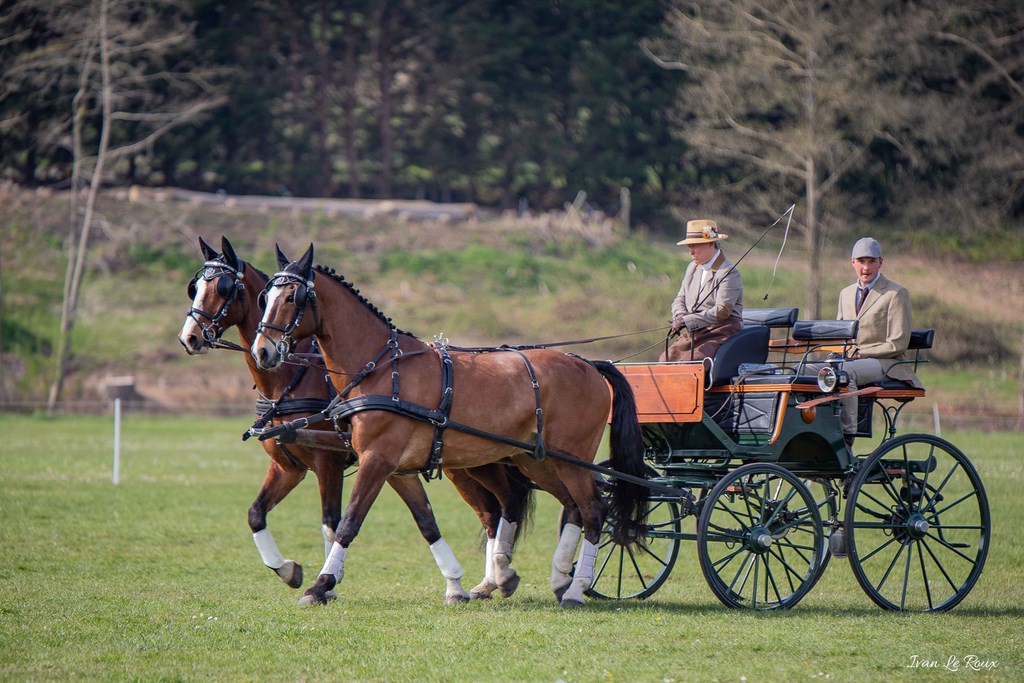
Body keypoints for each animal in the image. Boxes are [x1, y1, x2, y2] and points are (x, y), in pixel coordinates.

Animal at [179, 236, 536, 602]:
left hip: (472, 462)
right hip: (470, 462)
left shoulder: (331, 462)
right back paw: (492, 579)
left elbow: (333, 521)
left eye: (223, 287)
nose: (190, 337)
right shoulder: (289, 465)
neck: (292, 379)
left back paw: (497, 575)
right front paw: (289, 570)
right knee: (495, 510)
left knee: (498, 508)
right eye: (195, 288)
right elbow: (256, 513)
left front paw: (327, 583)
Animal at [248, 242, 647, 606]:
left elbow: (348, 522)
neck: (380, 368)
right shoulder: (394, 468)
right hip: (536, 460)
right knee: (569, 508)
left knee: (594, 511)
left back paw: (576, 589)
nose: (262, 351)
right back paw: (554, 578)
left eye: (292, 297)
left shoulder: (376, 459)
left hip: (569, 460)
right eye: (265, 297)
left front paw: (321, 584)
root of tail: (588, 363)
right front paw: (455, 585)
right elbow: (425, 522)